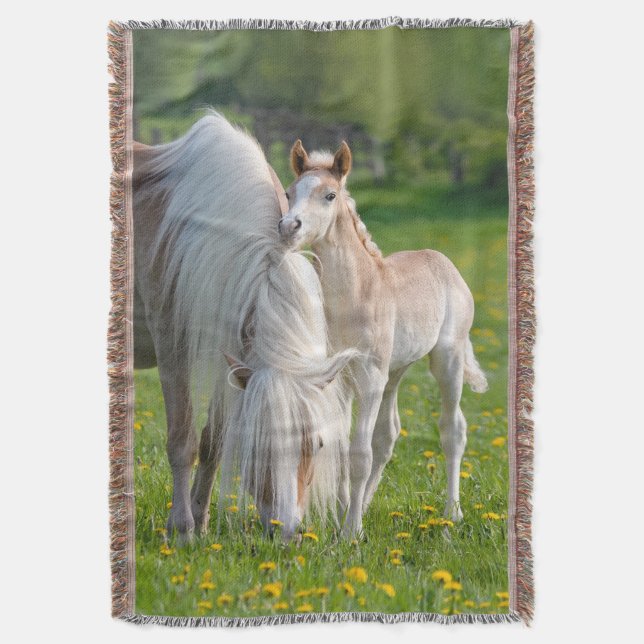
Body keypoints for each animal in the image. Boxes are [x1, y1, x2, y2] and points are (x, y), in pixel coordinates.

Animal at [132, 113, 355, 542]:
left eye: (317, 443)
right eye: (259, 445)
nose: (286, 532)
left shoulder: (232, 354)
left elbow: (213, 442)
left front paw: (199, 519)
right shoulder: (173, 348)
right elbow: (183, 441)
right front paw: (182, 528)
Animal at [278, 140, 488, 538]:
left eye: (329, 195)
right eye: (289, 192)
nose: (288, 227)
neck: (354, 296)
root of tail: (443, 261)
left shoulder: (370, 377)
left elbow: (360, 452)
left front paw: (350, 533)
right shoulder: (339, 379)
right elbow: (344, 448)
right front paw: (344, 515)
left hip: (446, 360)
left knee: (452, 430)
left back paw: (452, 513)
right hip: (395, 371)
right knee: (387, 436)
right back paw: (365, 504)